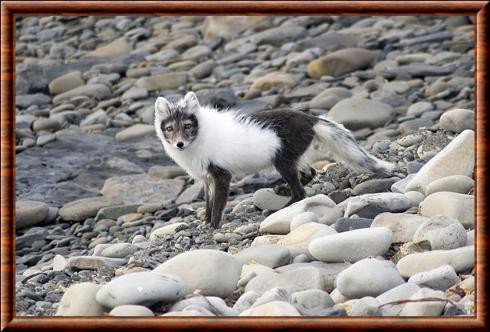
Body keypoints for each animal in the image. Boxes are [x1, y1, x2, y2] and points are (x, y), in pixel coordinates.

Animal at [155, 92, 396, 230]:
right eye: (170, 128)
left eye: (187, 126)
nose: (179, 144)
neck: (200, 137)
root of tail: (309, 118)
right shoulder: (206, 178)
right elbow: (207, 203)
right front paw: (205, 222)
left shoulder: (222, 174)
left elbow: (218, 205)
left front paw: (212, 226)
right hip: (292, 158)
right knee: (310, 174)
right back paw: (282, 191)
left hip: (281, 161)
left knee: (300, 191)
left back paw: (280, 208)